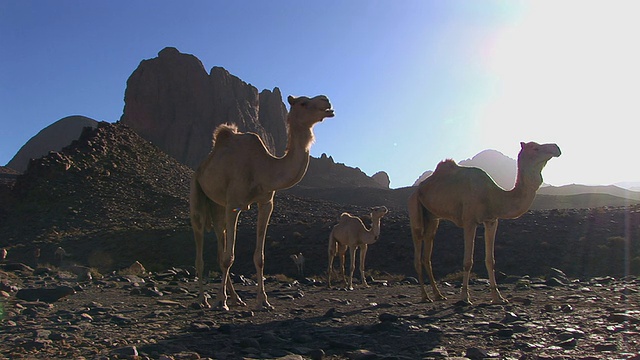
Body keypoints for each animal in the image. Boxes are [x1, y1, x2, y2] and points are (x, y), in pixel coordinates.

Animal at [190, 94, 336, 310]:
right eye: (303, 103)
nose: (326, 101)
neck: (262, 168)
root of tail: (202, 165)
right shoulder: (234, 204)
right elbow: (229, 258)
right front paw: (221, 301)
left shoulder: (266, 202)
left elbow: (259, 257)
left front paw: (263, 301)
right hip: (198, 194)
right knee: (200, 246)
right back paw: (203, 299)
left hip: (218, 206)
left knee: (219, 244)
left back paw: (236, 298)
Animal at [410, 142, 560, 306]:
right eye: (535, 148)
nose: (556, 148)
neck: (492, 195)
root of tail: (420, 187)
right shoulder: (469, 221)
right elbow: (468, 261)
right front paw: (465, 297)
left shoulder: (491, 221)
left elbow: (490, 260)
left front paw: (498, 297)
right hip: (415, 206)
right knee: (417, 251)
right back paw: (425, 296)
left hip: (432, 218)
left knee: (427, 253)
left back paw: (438, 295)